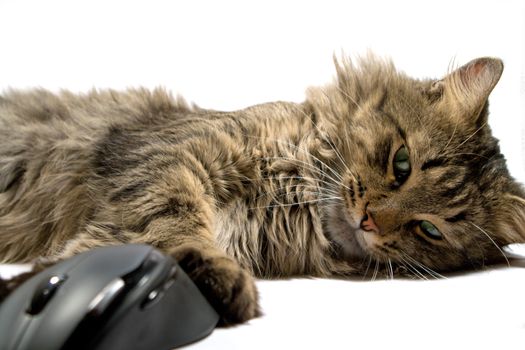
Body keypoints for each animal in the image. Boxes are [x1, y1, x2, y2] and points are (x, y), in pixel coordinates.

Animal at [0, 54, 520, 326]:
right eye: (402, 162)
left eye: (429, 231)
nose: (370, 220)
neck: (293, 195)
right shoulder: (171, 156)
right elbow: (175, 219)